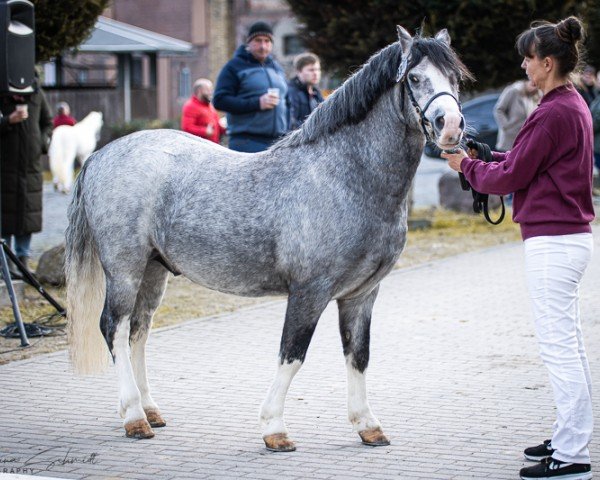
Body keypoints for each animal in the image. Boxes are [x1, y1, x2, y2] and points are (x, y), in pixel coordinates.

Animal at [64, 28, 468, 452]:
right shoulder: (310, 291)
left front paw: (368, 425)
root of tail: (101, 156)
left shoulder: (362, 295)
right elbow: (292, 355)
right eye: (414, 78)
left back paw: (150, 410)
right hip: (124, 270)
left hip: (153, 270)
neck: (345, 176)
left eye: (455, 78)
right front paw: (274, 428)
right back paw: (134, 417)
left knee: (138, 331)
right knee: (114, 328)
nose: (451, 125)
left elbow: (358, 355)